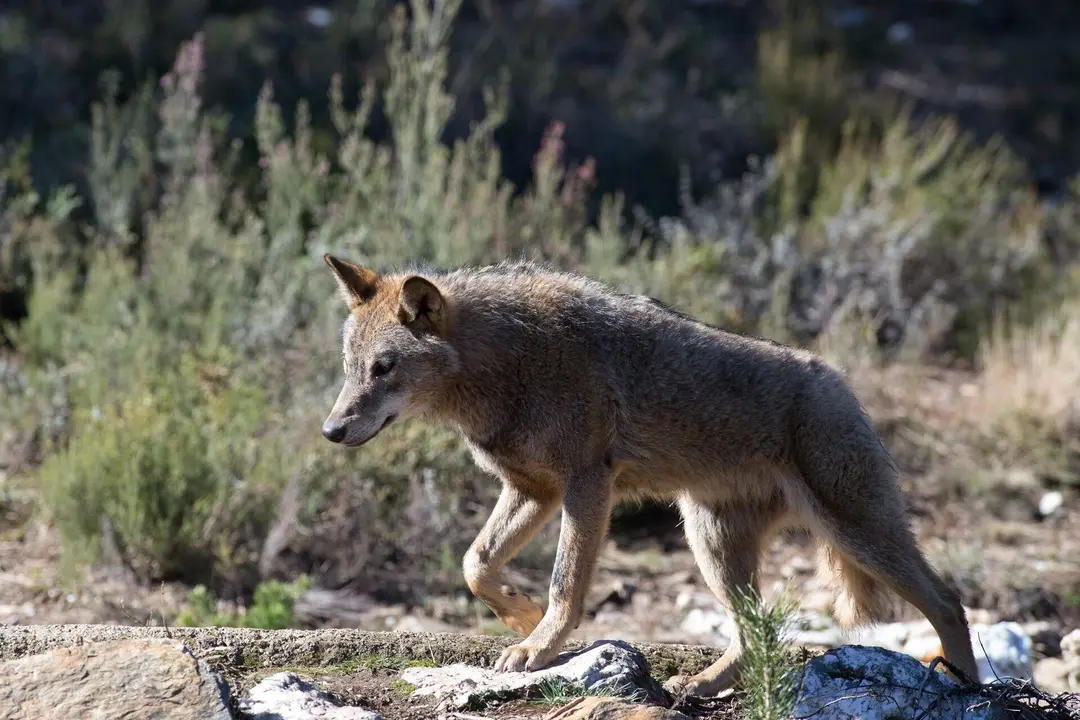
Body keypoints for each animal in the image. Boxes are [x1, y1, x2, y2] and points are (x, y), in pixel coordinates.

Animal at [319, 253, 980, 697]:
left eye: (384, 368)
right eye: (351, 368)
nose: (330, 430)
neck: (507, 362)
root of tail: (841, 381)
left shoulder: (585, 484)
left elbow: (564, 585)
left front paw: (539, 644)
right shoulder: (534, 489)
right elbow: (474, 563)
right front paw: (520, 618)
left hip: (856, 535)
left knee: (949, 601)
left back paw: (969, 688)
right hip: (711, 544)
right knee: (758, 633)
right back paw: (700, 686)